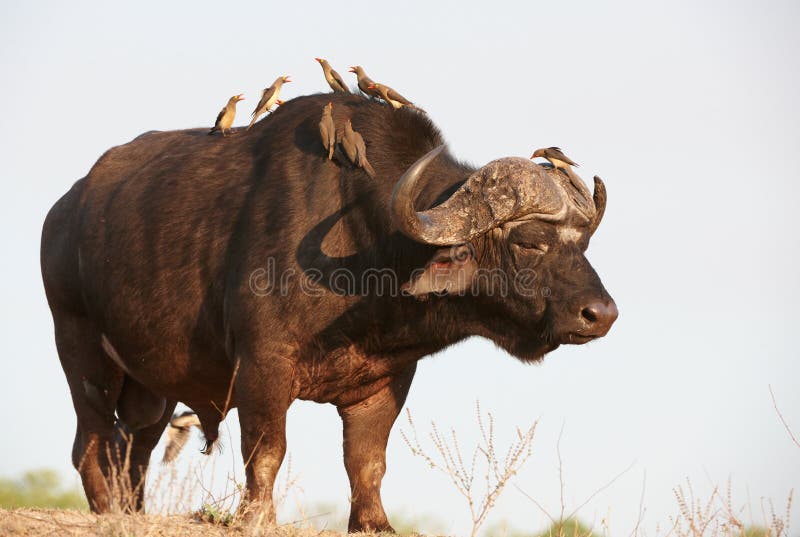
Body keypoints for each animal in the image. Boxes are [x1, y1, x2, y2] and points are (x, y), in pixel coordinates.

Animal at [40, 92, 617, 531]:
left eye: (584, 243)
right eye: (530, 241)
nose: (601, 315)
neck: (368, 248)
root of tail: (63, 212)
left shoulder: (385, 382)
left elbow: (367, 463)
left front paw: (375, 522)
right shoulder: (263, 365)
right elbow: (266, 450)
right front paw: (257, 517)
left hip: (153, 387)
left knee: (131, 451)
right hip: (82, 354)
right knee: (91, 445)